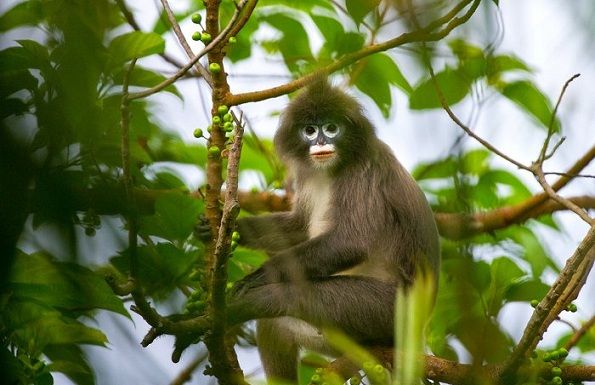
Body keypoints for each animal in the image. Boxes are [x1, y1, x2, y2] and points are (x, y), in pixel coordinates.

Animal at [189, 79, 440, 382]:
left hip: (388, 309)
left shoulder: (364, 171)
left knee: (284, 297)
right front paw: (227, 227)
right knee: (276, 324)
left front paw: (260, 275)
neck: (330, 169)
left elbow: (350, 242)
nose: (321, 142)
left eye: (331, 128)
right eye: (309, 131)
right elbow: (298, 227)